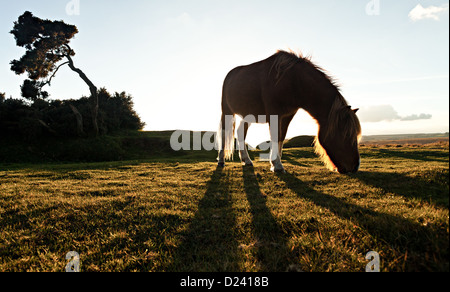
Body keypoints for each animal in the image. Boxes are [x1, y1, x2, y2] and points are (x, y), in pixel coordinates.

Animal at [218, 50, 362, 173]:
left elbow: (281, 137)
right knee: (224, 133)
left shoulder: (287, 116)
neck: (292, 80)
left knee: (241, 132)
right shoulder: (275, 115)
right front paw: (277, 165)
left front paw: (276, 163)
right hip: (227, 112)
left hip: (248, 115)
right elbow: (275, 136)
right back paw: (221, 161)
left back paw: (246, 160)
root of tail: (230, 75)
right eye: (346, 135)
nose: (355, 167)